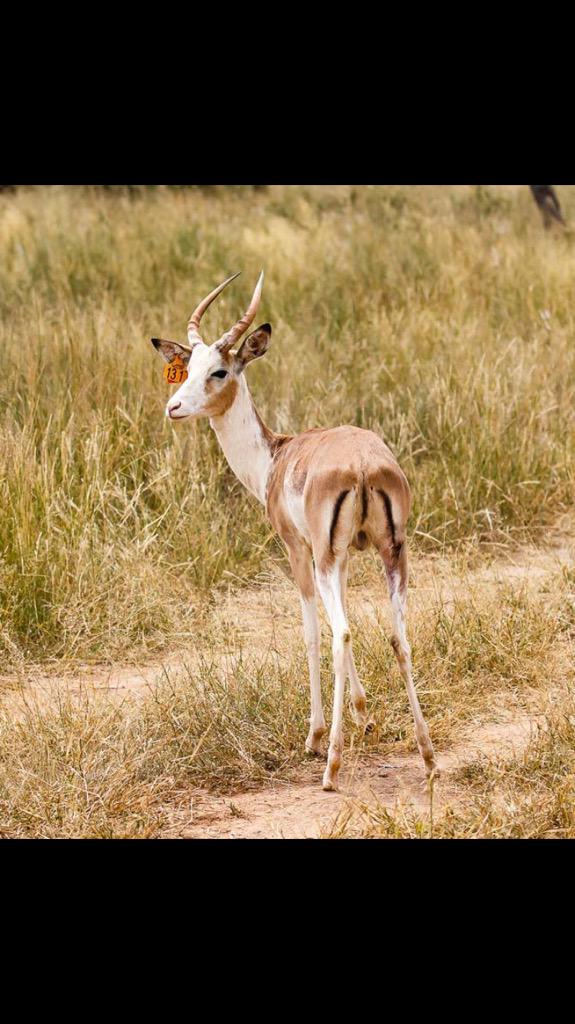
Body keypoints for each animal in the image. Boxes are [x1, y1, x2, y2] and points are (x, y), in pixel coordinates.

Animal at [151, 273, 438, 792]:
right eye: (187, 368)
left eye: (219, 371)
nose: (174, 407)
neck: (275, 457)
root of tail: (363, 465)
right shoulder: (344, 557)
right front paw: (365, 715)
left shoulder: (299, 551)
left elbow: (311, 632)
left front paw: (316, 735)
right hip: (393, 555)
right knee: (398, 637)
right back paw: (427, 757)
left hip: (326, 559)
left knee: (341, 632)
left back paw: (331, 767)